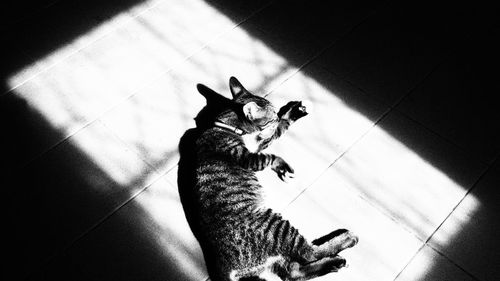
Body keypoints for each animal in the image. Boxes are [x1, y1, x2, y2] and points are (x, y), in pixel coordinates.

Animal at [178, 76, 358, 280]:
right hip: (277, 227)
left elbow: (278, 131)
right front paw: (282, 159)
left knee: (293, 272)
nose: (277, 116)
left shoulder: (258, 144)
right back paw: (347, 239)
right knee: (307, 254)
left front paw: (292, 112)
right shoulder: (249, 157)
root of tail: (225, 269)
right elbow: (271, 151)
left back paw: (335, 263)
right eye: (271, 116)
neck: (226, 125)